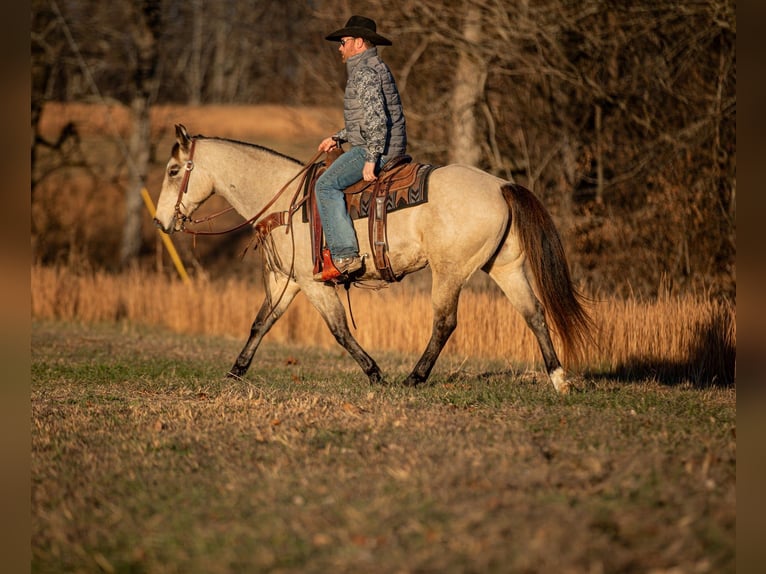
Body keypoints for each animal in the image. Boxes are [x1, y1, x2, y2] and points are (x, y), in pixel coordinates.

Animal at [153, 124, 594, 393]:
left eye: (174, 170)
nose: (160, 221)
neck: (285, 204)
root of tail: (501, 184)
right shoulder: (286, 282)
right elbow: (260, 323)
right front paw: (235, 371)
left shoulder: (313, 284)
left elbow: (339, 330)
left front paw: (375, 373)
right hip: (505, 267)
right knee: (534, 313)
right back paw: (559, 379)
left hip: (449, 272)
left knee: (445, 322)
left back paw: (415, 378)